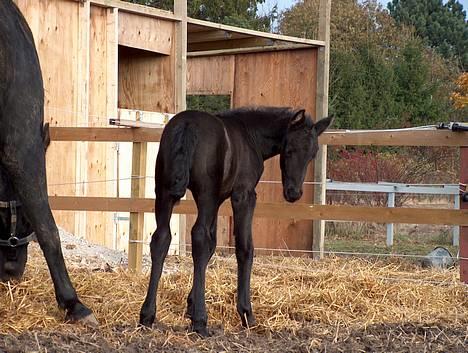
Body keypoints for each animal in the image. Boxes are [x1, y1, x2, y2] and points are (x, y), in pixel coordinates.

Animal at [139, 106, 332, 334]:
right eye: (289, 149)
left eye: (313, 154)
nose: (293, 193)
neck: (250, 135)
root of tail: (187, 125)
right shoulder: (244, 194)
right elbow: (244, 248)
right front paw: (246, 313)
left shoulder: (218, 199)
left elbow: (212, 245)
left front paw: (191, 304)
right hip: (205, 193)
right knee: (198, 236)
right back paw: (201, 321)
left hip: (164, 192)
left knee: (161, 238)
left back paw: (147, 315)